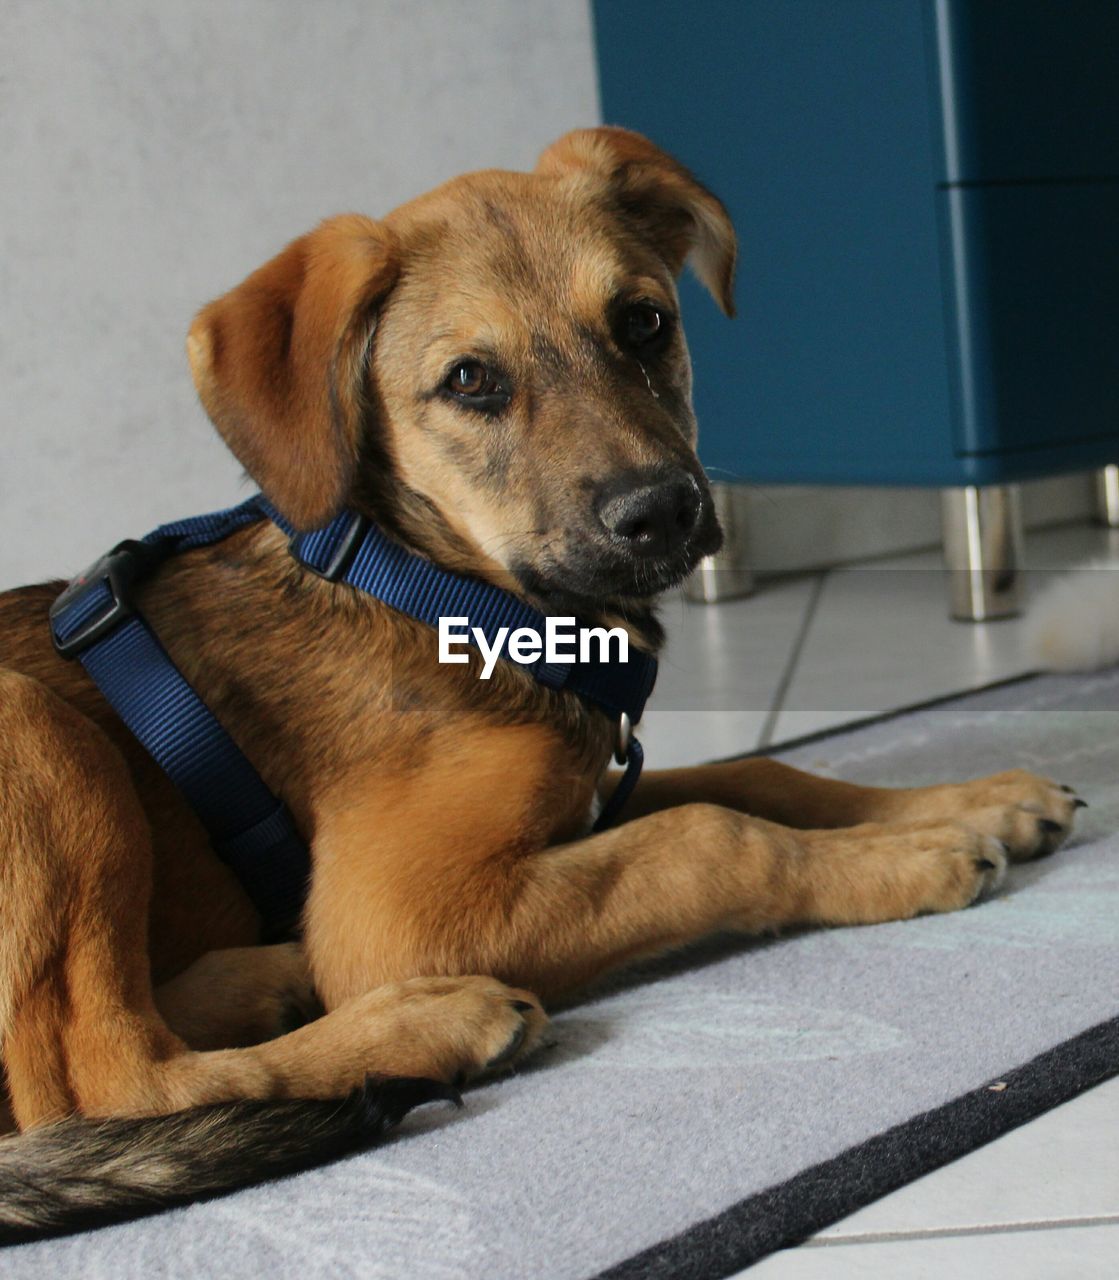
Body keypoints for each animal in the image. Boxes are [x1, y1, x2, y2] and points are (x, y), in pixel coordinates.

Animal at [0, 129, 1080, 1239]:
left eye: (644, 321)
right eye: (470, 379)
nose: (662, 511)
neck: (437, 585)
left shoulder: (591, 790)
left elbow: (763, 777)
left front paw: (970, 800)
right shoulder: (405, 910)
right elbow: (710, 837)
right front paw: (914, 855)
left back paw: (262, 979)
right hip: (39, 733)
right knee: (99, 1078)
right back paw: (425, 1019)